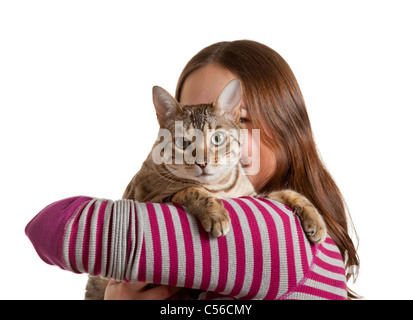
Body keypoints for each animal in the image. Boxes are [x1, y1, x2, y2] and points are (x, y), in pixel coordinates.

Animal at [84, 80, 326, 300]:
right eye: (183, 143)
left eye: (217, 138)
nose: (202, 162)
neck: (219, 186)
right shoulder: (150, 199)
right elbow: (191, 189)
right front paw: (216, 214)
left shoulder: (254, 196)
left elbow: (288, 193)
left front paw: (315, 219)